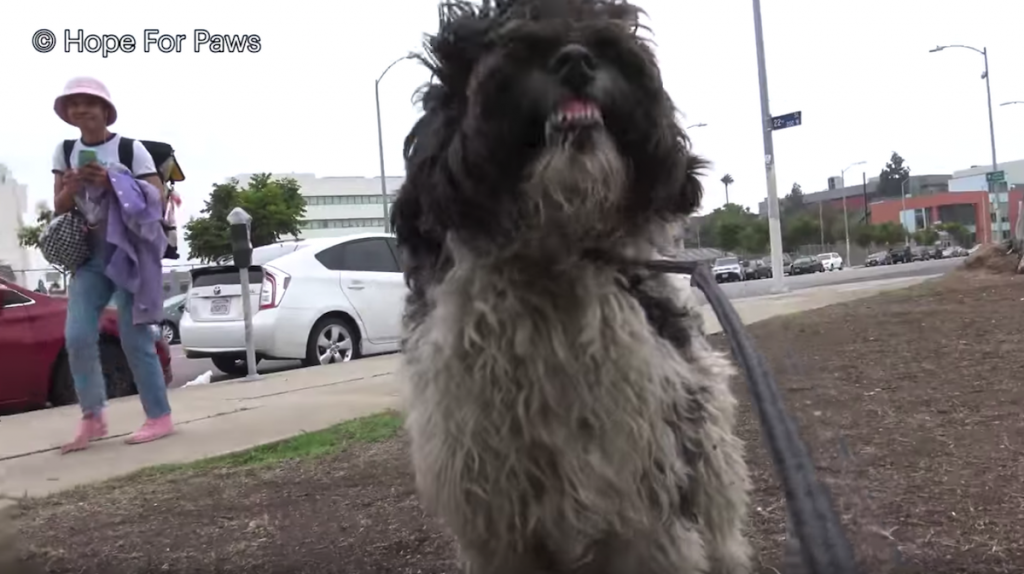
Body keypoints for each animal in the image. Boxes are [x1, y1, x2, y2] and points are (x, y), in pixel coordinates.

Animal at [391, 2, 753, 568]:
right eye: (482, 46)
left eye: (611, 23)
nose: (577, 58)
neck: (555, 253)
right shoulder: (499, 524)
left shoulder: (645, 508)